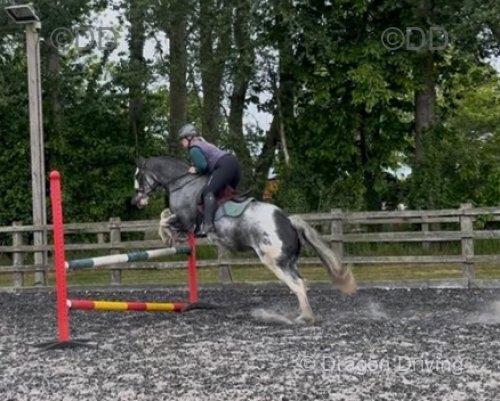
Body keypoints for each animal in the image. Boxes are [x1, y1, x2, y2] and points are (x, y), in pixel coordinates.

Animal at [131, 156, 356, 322]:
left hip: (274, 262)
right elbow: (164, 216)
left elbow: (164, 220)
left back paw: (305, 317)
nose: (136, 201)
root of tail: (288, 221)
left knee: (298, 285)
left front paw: (168, 238)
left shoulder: (186, 220)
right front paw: (171, 237)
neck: (182, 183)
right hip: (288, 263)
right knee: (301, 283)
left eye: (139, 177)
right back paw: (304, 314)